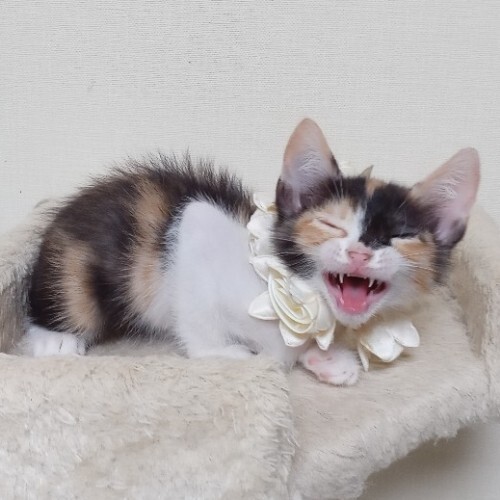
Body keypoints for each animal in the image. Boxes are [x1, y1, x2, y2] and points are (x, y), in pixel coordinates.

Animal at [24, 119, 480, 386]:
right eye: (332, 225)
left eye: (401, 236)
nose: (359, 254)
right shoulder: (198, 226)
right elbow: (199, 319)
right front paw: (227, 355)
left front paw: (328, 359)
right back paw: (54, 339)